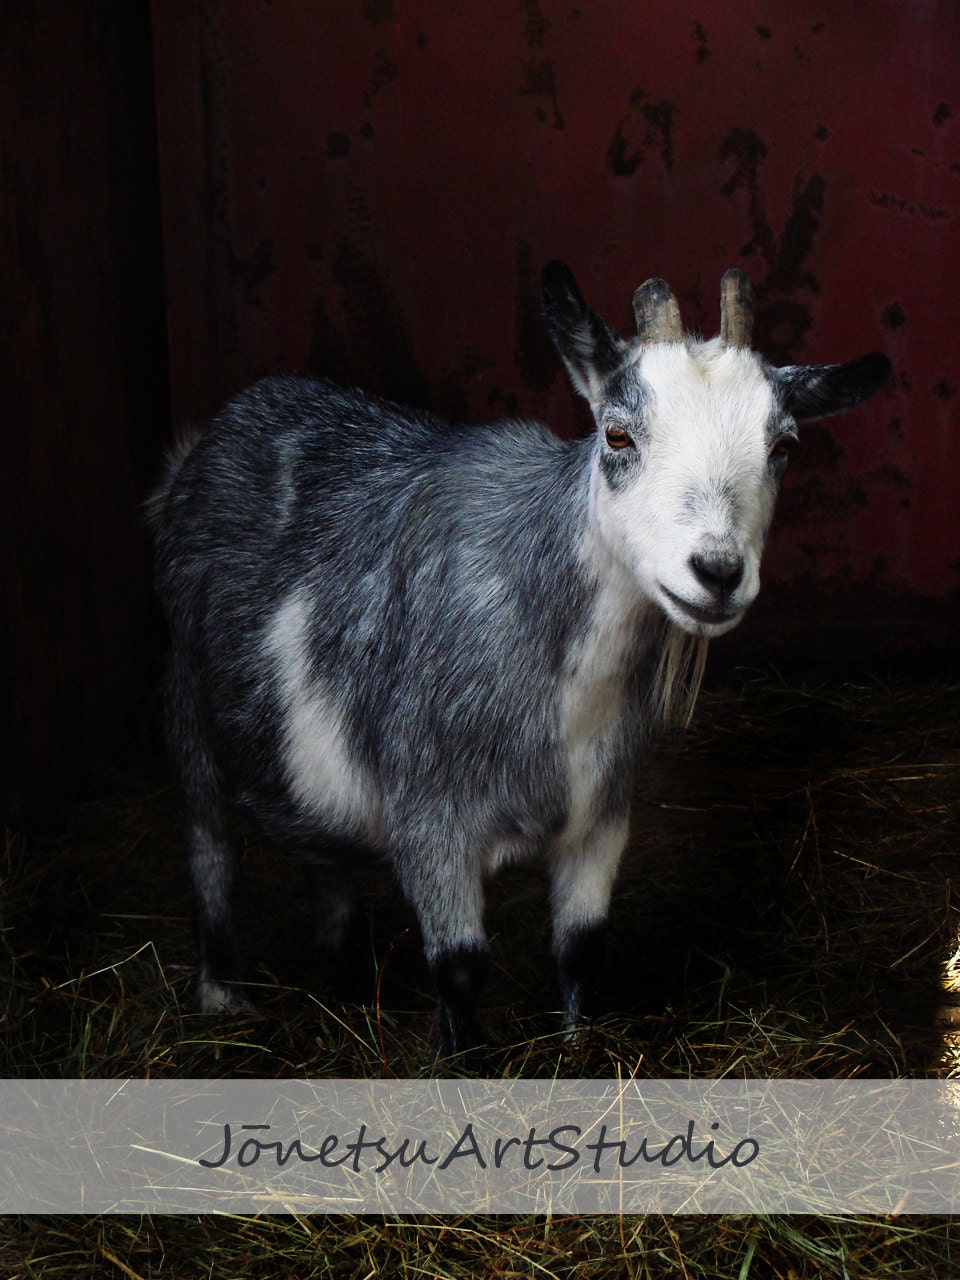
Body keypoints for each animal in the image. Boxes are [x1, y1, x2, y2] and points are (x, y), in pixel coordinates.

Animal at [149, 262, 889, 1058]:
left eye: (783, 447)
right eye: (616, 433)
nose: (718, 571)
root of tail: (204, 445)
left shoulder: (602, 815)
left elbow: (583, 949)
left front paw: (580, 1050)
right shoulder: (429, 816)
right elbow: (461, 966)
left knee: (328, 863)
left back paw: (347, 979)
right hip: (185, 699)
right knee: (208, 844)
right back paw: (223, 992)